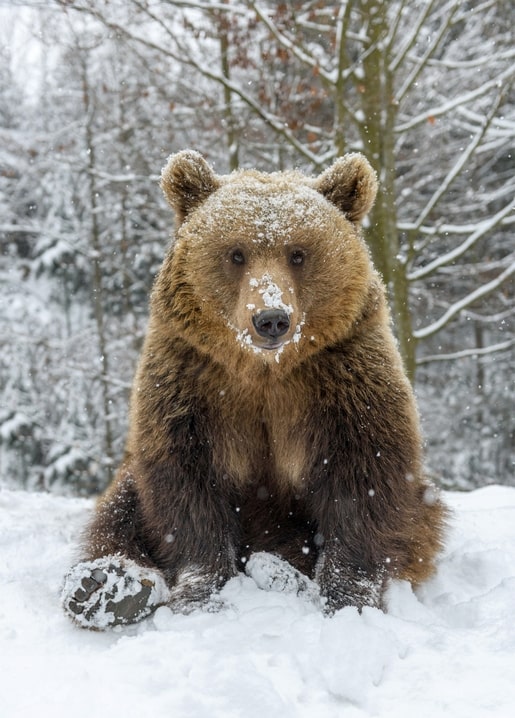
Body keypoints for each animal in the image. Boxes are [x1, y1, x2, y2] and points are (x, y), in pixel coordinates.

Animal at [61, 150, 447, 629]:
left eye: (298, 253)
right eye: (236, 253)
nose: (271, 319)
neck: (265, 371)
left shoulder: (343, 376)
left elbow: (365, 479)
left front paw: (347, 598)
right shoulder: (192, 382)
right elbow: (185, 486)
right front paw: (201, 593)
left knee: (416, 521)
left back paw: (277, 572)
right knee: (123, 508)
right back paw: (108, 586)